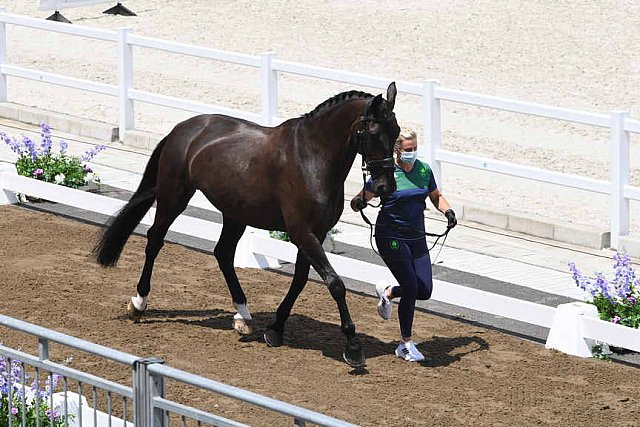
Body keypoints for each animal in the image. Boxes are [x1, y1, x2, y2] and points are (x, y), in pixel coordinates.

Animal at [94, 82, 400, 366]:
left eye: (396, 131)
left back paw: (242, 316)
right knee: (155, 241)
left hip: (234, 213)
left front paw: (275, 330)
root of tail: (184, 128)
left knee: (223, 253)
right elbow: (335, 283)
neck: (312, 157)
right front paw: (353, 346)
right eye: (374, 132)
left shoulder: (316, 233)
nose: (385, 187)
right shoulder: (302, 232)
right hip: (174, 198)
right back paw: (138, 303)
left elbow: (300, 280)